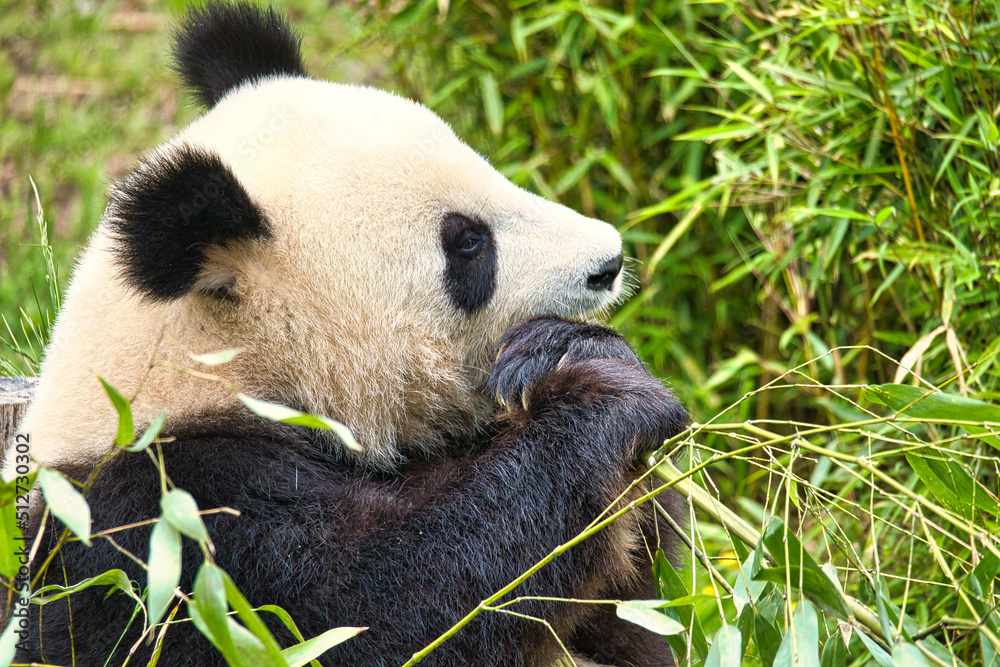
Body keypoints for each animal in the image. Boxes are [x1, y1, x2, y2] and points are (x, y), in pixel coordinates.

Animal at [9, 3, 688, 666]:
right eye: (467, 242)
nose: (609, 260)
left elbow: (637, 608)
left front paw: (563, 351)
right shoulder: (172, 524)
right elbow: (381, 611)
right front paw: (601, 399)